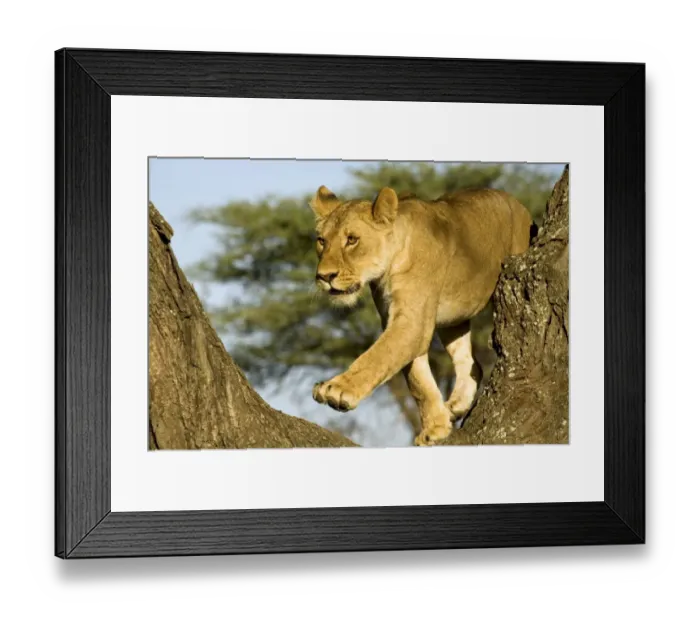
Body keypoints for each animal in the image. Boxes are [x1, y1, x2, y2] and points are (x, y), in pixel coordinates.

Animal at [309, 184, 534, 446]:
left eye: (352, 239)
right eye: (322, 241)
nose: (324, 276)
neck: (390, 265)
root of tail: (520, 205)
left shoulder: (412, 323)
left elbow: (376, 357)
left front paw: (338, 388)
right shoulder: (399, 320)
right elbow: (418, 382)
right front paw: (436, 428)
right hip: (452, 319)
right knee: (472, 363)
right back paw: (456, 405)